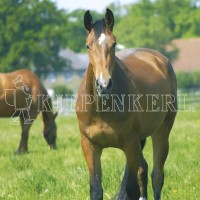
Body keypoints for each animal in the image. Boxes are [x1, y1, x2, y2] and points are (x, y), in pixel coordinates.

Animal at [76, 9, 177, 200]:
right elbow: (96, 189)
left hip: (161, 131)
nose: (104, 85)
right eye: (87, 46)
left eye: (114, 44)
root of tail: (158, 59)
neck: (102, 109)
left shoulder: (129, 145)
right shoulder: (90, 145)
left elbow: (131, 186)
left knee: (156, 176)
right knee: (143, 170)